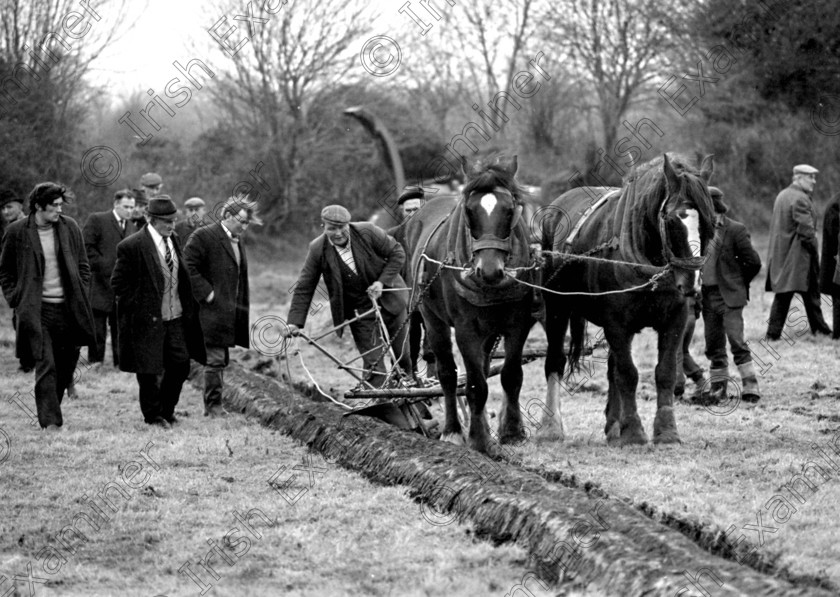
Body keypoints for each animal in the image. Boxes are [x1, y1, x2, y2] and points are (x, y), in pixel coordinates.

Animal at [406, 154, 540, 452]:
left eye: (510, 210)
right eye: (468, 210)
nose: (489, 271)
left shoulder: (518, 324)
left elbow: (511, 375)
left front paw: (511, 432)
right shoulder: (466, 329)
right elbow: (476, 384)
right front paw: (478, 440)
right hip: (432, 318)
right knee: (447, 373)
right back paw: (453, 431)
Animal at [540, 156, 716, 444]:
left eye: (711, 221)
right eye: (671, 220)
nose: (691, 282)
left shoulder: (675, 319)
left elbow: (664, 372)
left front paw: (666, 431)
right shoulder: (616, 324)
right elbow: (628, 374)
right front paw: (633, 431)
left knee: (612, 368)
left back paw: (613, 426)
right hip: (557, 307)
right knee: (555, 360)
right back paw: (551, 427)